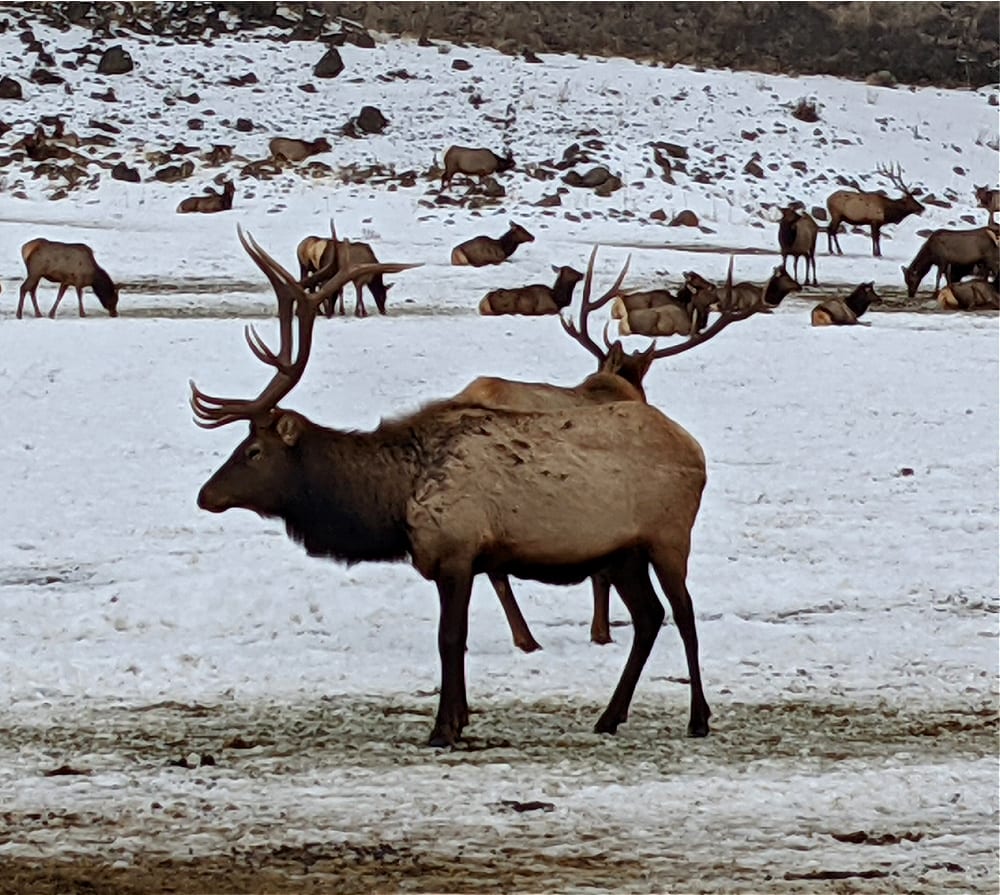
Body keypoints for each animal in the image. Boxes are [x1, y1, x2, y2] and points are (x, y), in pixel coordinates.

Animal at [191, 231, 716, 748]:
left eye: (253, 450)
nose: (205, 495)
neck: (394, 502)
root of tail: (695, 448)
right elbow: (455, 639)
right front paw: (459, 719)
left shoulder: (457, 551)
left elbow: (449, 639)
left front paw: (443, 727)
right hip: (623, 552)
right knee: (649, 617)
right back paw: (609, 716)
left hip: (669, 536)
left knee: (684, 614)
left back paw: (698, 718)